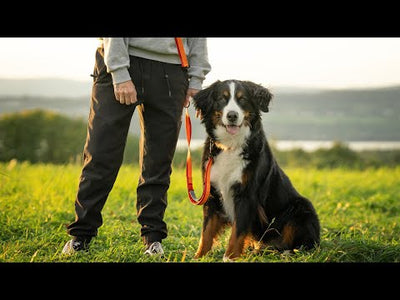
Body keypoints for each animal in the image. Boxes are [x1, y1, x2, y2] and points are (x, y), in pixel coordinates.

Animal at [192, 79, 320, 260]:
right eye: (222, 99)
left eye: (242, 99)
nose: (232, 115)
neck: (230, 146)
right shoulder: (212, 193)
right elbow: (206, 232)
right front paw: (199, 256)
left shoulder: (246, 195)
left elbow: (237, 232)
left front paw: (230, 257)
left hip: (301, 208)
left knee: (303, 244)